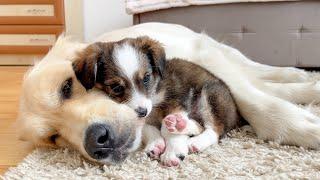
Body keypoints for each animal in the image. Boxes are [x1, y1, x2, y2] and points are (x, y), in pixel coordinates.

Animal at [72, 36, 242, 166]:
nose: (142, 112)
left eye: (146, 78)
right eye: (116, 87)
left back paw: (194, 140)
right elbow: (149, 129)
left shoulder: (176, 97)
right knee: (200, 126)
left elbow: (166, 130)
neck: (154, 93)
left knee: (215, 129)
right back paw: (182, 126)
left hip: (211, 93)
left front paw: (173, 152)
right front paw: (156, 144)